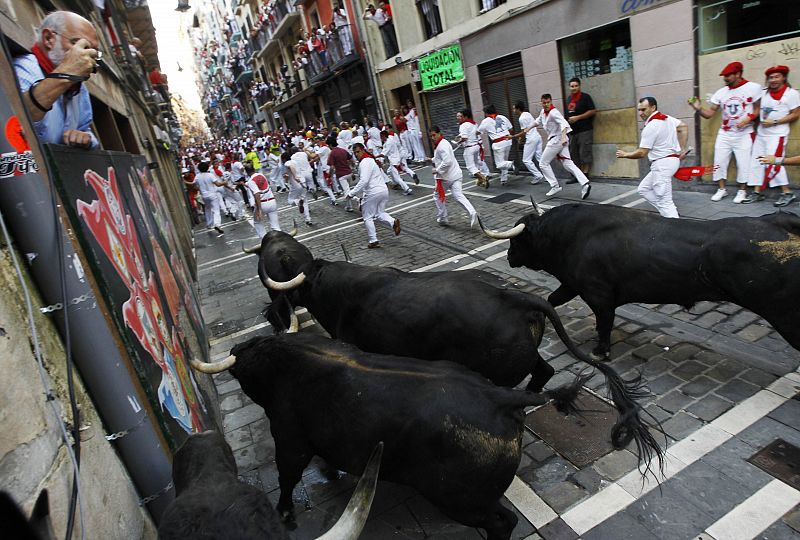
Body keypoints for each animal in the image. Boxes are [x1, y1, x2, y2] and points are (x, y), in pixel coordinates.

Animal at [189, 334, 624, 540]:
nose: (237, 350)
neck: (287, 360)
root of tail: (502, 397)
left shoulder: (288, 437)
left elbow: (287, 476)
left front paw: (285, 511)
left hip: (462, 501)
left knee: (502, 523)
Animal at [488, 206, 800, 358]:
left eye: (517, 240)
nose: (508, 256)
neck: (567, 236)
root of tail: (775, 221)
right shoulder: (573, 284)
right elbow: (552, 300)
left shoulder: (599, 295)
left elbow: (604, 324)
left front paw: (601, 351)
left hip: (785, 315)